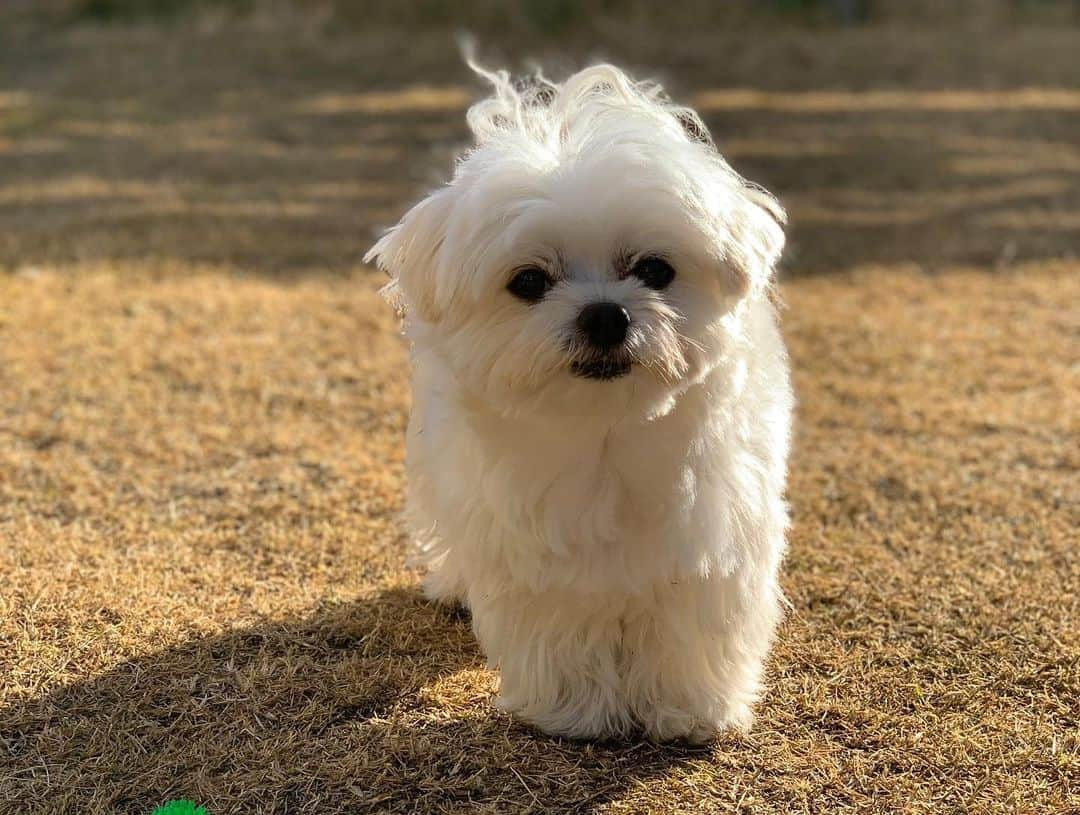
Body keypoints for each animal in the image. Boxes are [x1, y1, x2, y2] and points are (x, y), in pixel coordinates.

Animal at [367, 60, 799, 742]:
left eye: (654, 270)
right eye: (529, 281)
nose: (604, 315)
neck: (605, 430)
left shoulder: (711, 538)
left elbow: (689, 626)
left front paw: (687, 711)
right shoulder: (531, 543)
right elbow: (560, 627)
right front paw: (576, 712)